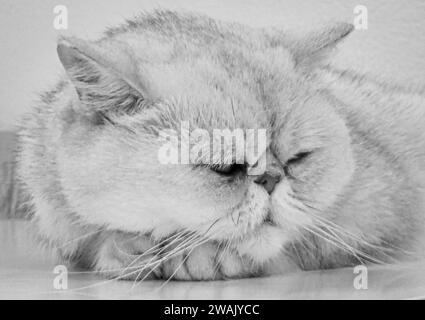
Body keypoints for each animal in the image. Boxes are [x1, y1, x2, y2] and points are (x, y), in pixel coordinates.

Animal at [17, 10, 424, 280]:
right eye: (225, 168)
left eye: (297, 159)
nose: (271, 179)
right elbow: (95, 242)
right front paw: (123, 246)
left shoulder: (380, 217)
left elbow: (301, 246)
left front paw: (200, 254)